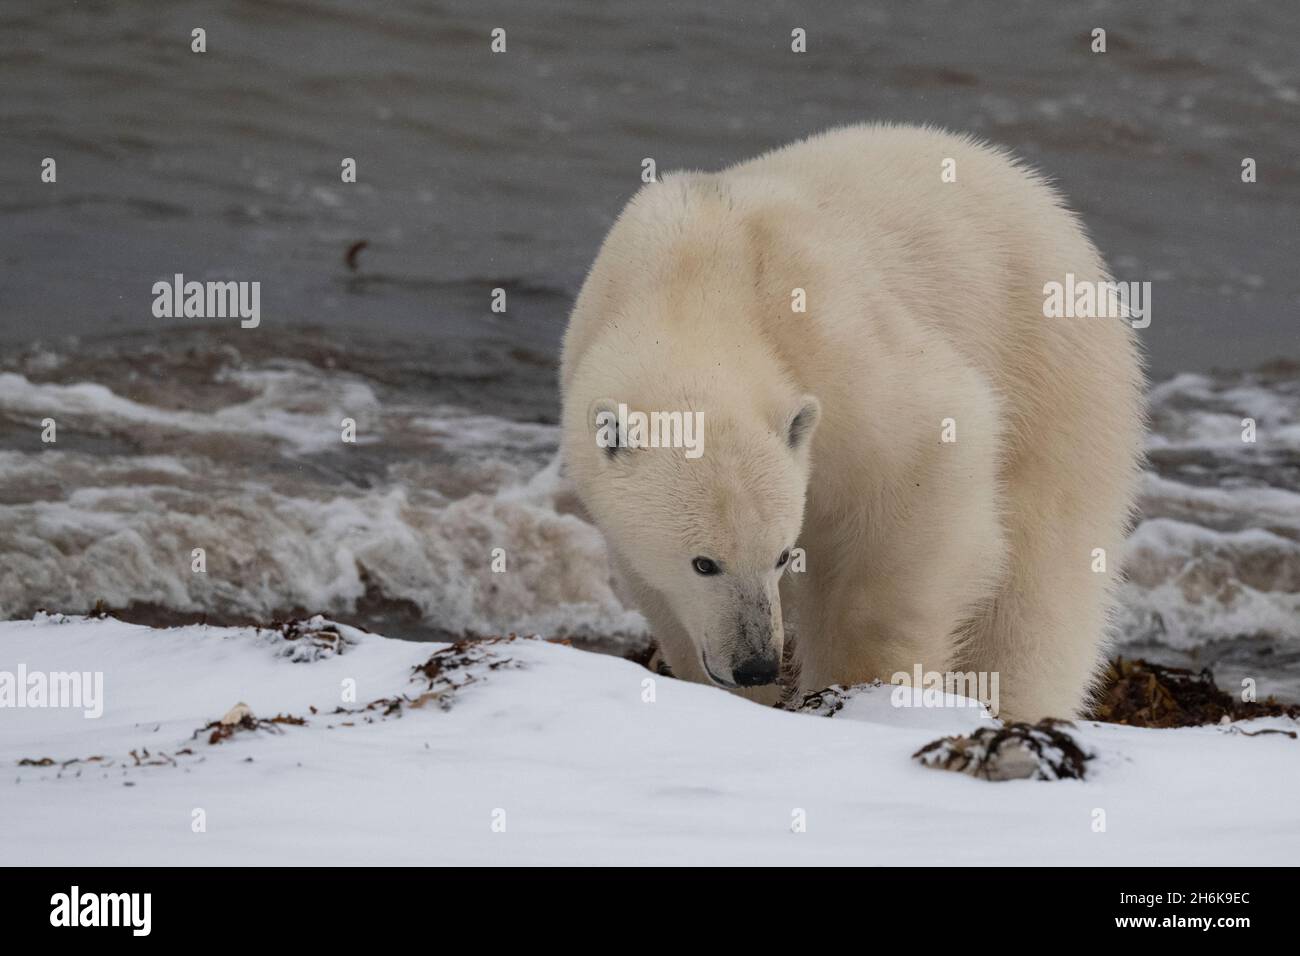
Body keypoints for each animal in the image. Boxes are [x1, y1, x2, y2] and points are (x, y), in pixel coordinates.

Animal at [559, 123, 1138, 723]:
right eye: (704, 563)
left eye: (780, 554)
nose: (756, 664)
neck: (693, 282)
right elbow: (655, 582)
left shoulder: (835, 342)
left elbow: (929, 462)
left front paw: (863, 687)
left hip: (1053, 376)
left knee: (1040, 588)